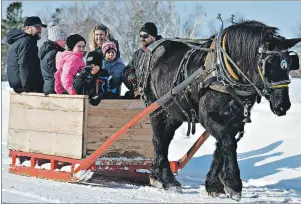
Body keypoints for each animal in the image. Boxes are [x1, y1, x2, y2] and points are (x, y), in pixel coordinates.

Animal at [136, 19, 300, 200]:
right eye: (268, 63)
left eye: (289, 63)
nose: (283, 105)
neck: (223, 71)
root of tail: (151, 49)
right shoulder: (208, 117)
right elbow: (228, 143)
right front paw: (233, 184)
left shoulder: (235, 120)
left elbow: (223, 146)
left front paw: (214, 184)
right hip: (157, 108)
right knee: (159, 140)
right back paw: (168, 180)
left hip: (173, 112)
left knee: (164, 138)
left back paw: (156, 175)